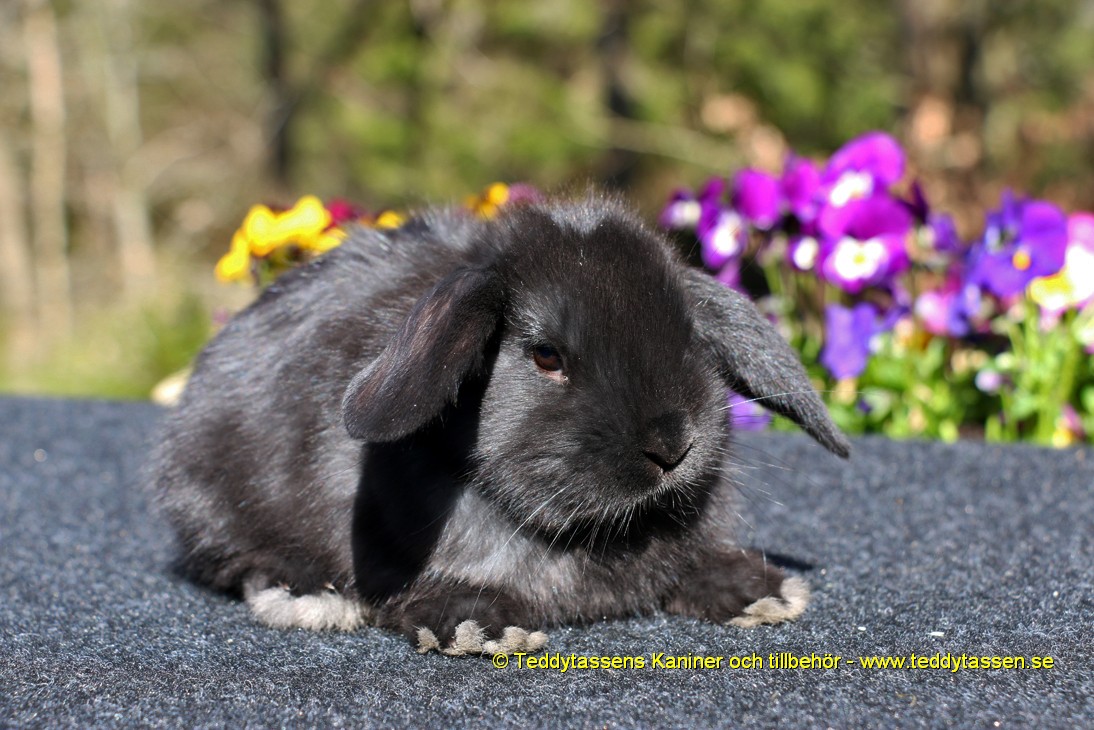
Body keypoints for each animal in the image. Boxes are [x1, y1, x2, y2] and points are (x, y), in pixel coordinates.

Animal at [154, 192, 848, 656]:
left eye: (691, 338)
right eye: (545, 356)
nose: (672, 446)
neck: (593, 535)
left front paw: (760, 592)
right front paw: (480, 627)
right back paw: (309, 599)